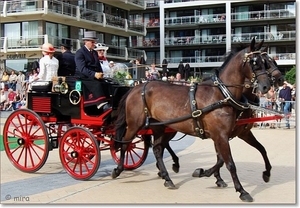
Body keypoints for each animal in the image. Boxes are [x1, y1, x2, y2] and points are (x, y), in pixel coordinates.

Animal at [111, 38, 270, 202]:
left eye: (265, 62)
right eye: (254, 62)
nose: (266, 86)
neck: (221, 95)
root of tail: (137, 87)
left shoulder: (230, 134)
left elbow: (254, 151)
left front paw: (266, 173)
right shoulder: (220, 136)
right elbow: (230, 163)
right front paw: (241, 190)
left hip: (160, 126)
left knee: (157, 149)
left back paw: (167, 177)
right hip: (134, 124)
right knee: (125, 144)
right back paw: (118, 169)